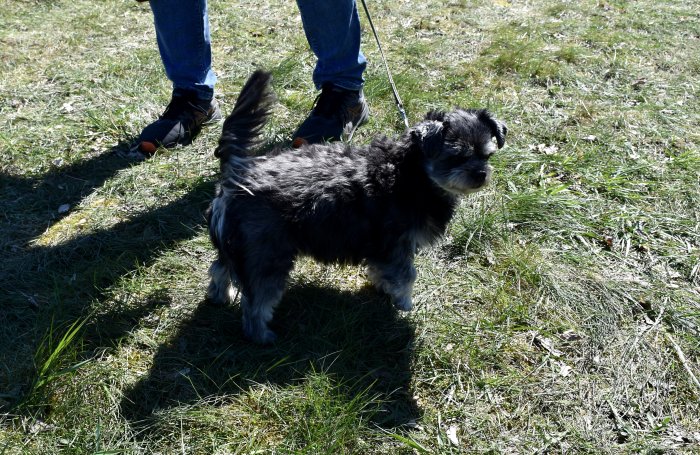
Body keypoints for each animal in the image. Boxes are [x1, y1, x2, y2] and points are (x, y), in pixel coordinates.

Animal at [205, 69, 506, 344]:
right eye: (456, 157)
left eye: (487, 154)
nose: (481, 175)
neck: (410, 172)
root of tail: (237, 174)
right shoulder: (396, 245)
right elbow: (406, 276)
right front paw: (404, 305)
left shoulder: (381, 250)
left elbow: (383, 272)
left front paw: (383, 289)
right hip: (267, 255)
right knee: (255, 303)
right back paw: (262, 336)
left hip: (241, 246)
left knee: (220, 268)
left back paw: (220, 297)